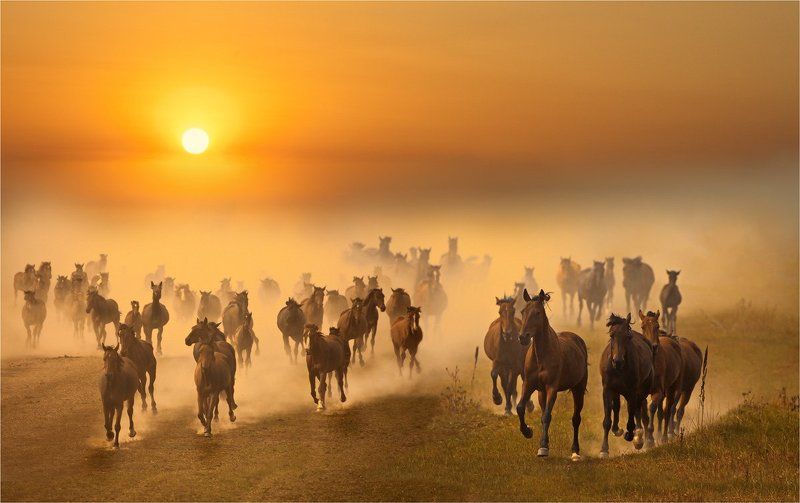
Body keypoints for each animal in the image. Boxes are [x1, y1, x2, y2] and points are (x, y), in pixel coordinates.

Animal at [516, 289, 588, 460]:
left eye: (537, 312)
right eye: (523, 311)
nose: (523, 337)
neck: (541, 356)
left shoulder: (552, 388)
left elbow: (547, 415)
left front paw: (542, 447)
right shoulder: (529, 384)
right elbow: (521, 407)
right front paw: (528, 431)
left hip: (578, 388)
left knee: (576, 418)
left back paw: (575, 451)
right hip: (541, 392)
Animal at [599, 313, 654, 458]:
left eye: (628, 337)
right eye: (612, 334)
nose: (617, 361)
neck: (619, 370)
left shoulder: (632, 391)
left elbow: (631, 413)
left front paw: (631, 435)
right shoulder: (607, 389)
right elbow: (607, 419)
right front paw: (604, 450)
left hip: (642, 389)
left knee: (638, 408)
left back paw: (639, 437)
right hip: (617, 390)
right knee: (618, 407)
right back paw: (618, 430)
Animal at [639, 310, 683, 446]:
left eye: (657, 326)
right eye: (643, 326)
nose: (653, 346)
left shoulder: (658, 391)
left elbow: (652, 408)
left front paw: (650, 439)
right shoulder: (641, 393)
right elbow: (644, 415)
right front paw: (646, 440)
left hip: (672, 388)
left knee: (667, 410)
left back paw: (664, 437)